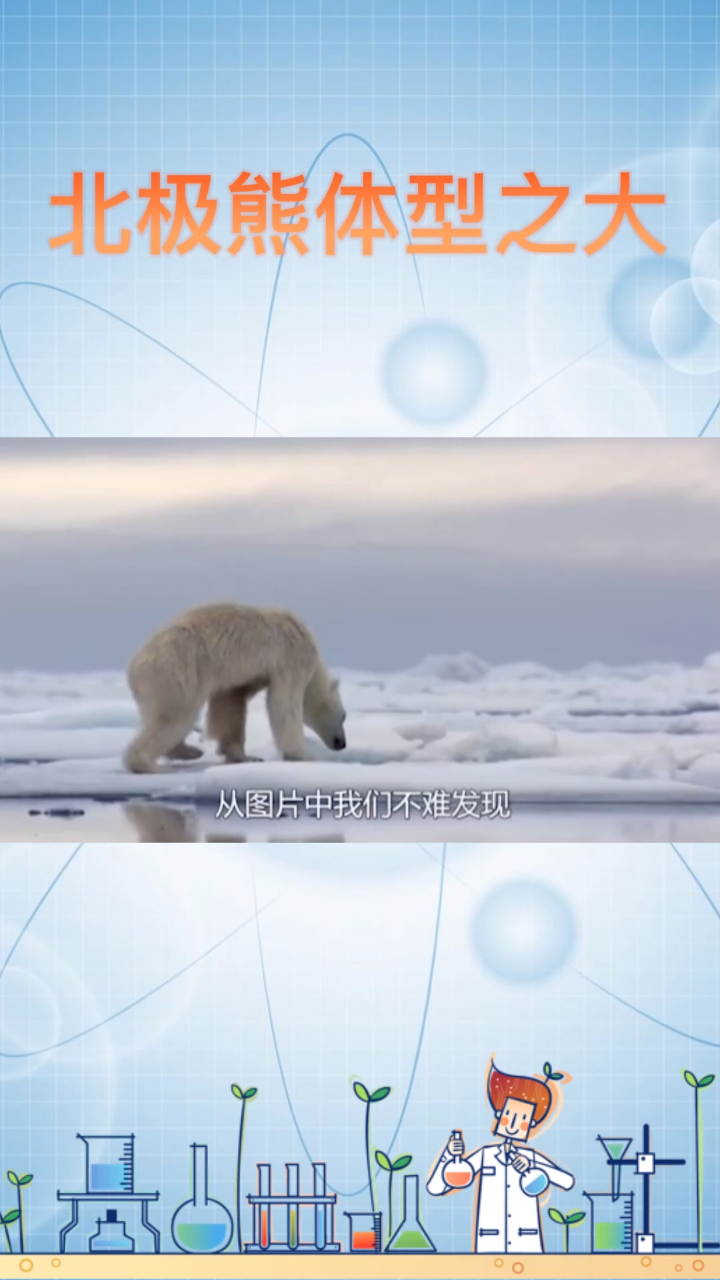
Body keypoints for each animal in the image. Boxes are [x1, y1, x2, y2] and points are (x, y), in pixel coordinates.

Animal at [122, 603, 346, 774]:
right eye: (343, 716)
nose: (342, 743)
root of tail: (134, 666)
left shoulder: (240, 677)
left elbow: (229, 703)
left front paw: (245, 757)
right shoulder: (293, 654)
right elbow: (284, 704)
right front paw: (304, 755)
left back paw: (188, 751)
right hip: (177, 669)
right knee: (175, 715)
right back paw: (150, 764)